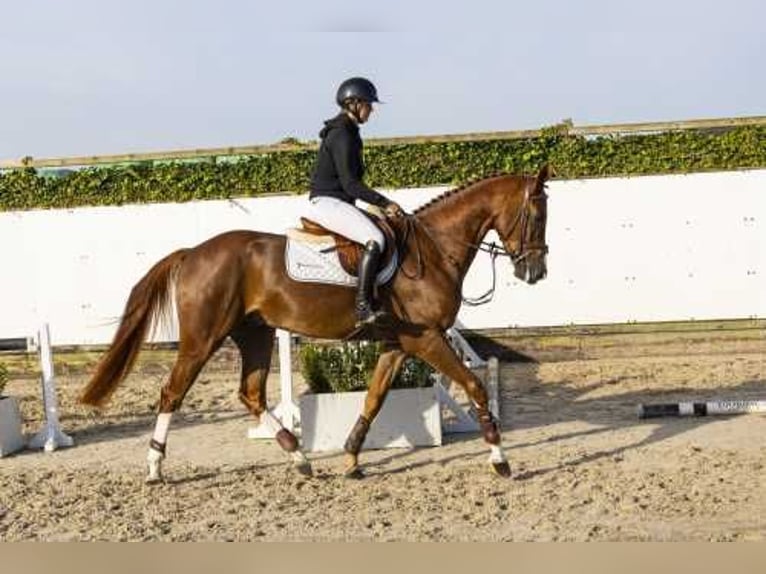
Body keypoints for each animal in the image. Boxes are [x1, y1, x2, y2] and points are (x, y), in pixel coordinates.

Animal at [79, 165, 552, 482]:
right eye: (537, 213)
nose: (535, 272)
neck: (434, 250)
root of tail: (193, 252)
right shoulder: (428, 340)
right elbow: (474, 387)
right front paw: (500, 458)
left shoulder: (398, 345)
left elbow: (373, 399)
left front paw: (352, 458)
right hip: (203, 338)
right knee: (172, 393)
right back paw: (155, 466)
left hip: (255, 333)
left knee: (250, 393)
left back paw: (299, 458)